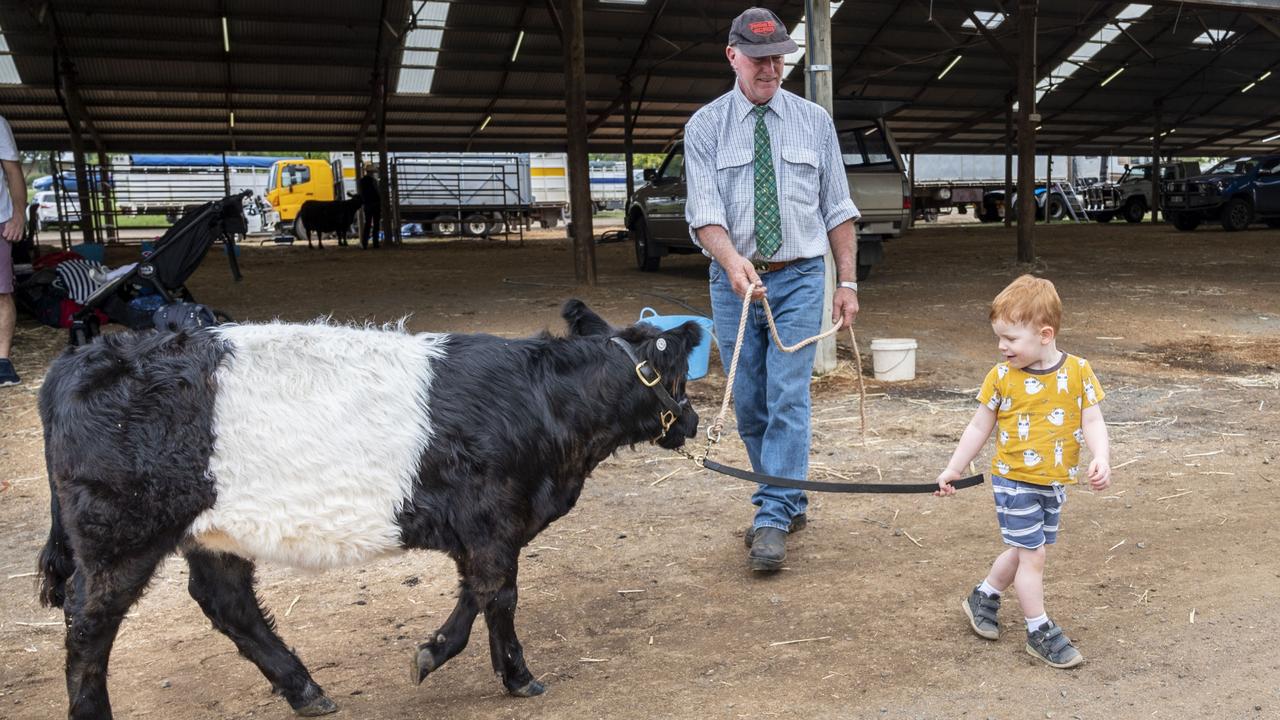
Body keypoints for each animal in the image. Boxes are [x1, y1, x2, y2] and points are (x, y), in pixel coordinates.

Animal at [37, 299, 701, 712]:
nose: (693, 422)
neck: (546, 405)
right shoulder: (493, 516)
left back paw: (306, 692)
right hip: (120, 531)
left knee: (227, 602)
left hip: (212, 529)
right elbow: (499, 595)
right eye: (677, 376)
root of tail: (79, 360)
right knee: (88, 622)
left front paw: (431, 653)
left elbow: (475, 594)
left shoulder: (486, 527)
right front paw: (519, 677)